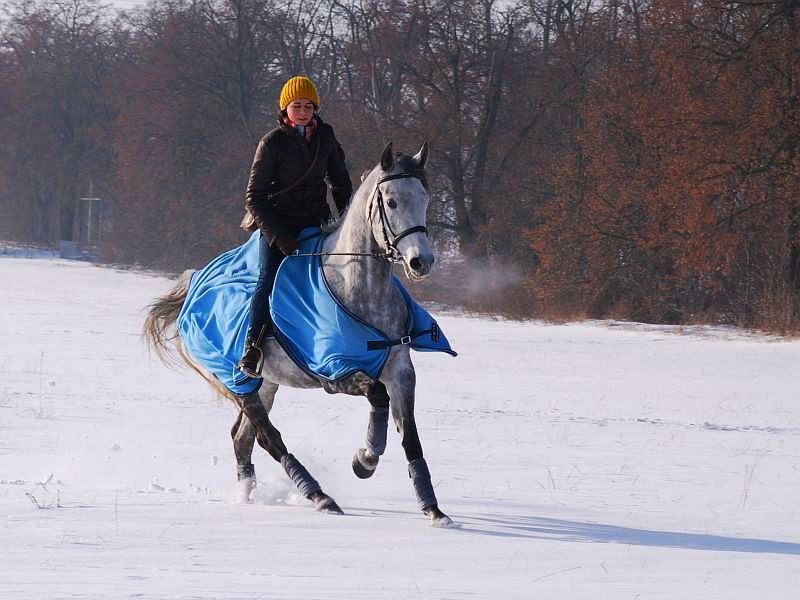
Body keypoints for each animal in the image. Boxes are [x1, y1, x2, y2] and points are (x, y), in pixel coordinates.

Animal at [145, 143, 456, 528]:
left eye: (424, 197)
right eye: (392, 201)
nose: (420, 262)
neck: (357, 289)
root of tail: (192, 284)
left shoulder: (400, 370)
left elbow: (410, 436)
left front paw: (434, 510)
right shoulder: (336, 372)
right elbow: (378, 397)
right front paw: (364, 460)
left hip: (265, 383)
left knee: (242, 438)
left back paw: (248, 495)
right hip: (235, 381)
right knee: (268, 438)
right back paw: (320, 496)